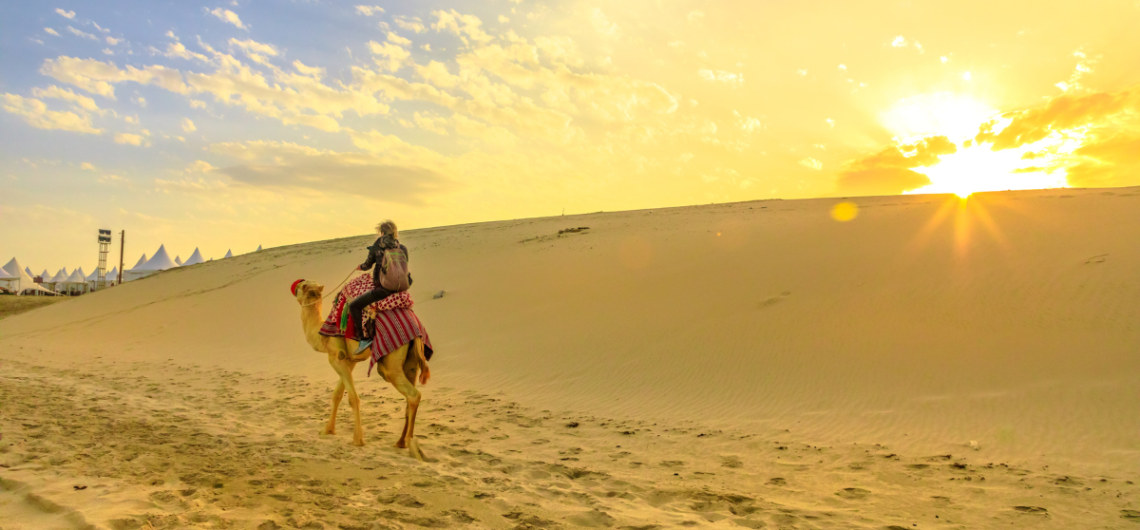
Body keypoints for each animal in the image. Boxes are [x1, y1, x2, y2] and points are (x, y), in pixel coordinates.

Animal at [294, 276, 430, 458]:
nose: (294, 286)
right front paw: (327, 430)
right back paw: (400, 442)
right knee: (409, 396)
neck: (320, 333)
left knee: (413, 394)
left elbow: (352, 397)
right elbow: (337, 394)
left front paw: (357, 439)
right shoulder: (348, 360)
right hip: (411, 361)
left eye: (301, 286)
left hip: (390, 362)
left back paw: (410, 445)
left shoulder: (336, 358)